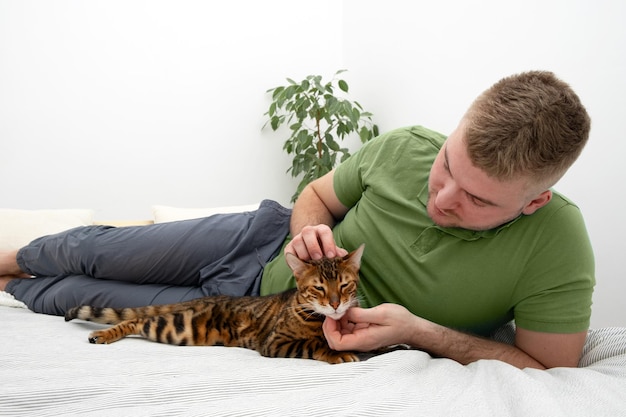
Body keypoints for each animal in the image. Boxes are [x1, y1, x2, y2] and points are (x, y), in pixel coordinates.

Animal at [64, 242, 364, 362]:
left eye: (344, 285)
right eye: (318, 288)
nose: (335, 304)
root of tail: (205, 297)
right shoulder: (275, 341)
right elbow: (313, 344)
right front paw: (337, 353)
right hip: (179, 326)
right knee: (138, 319)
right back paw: (104, 334)